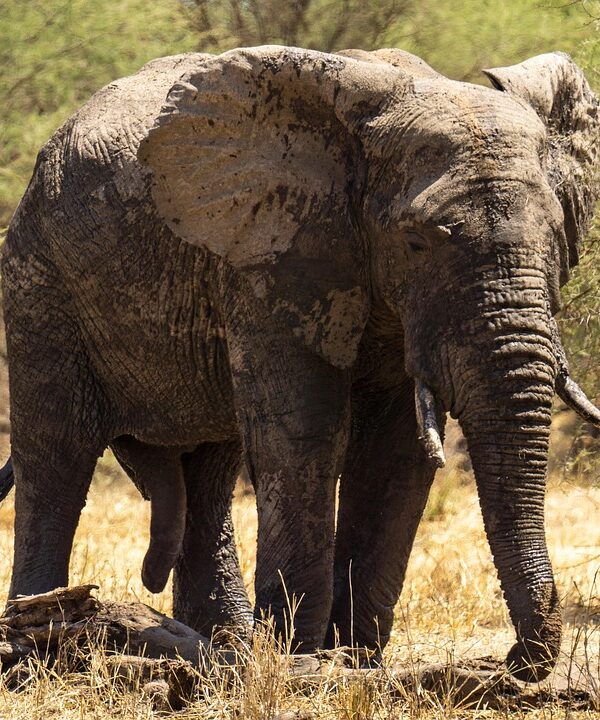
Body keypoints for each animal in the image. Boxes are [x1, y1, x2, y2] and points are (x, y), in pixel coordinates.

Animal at [2, 46, 599, 682]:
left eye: (558, 237)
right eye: (415, 242)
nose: (511, 662)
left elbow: (394, 452)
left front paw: (353, 661)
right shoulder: (273, 252)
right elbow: (305, 433)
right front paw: (303, 662)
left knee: (209, 473)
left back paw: (222, 647)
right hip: (38, 277)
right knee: (57, 456)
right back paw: (35, 644)